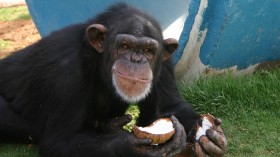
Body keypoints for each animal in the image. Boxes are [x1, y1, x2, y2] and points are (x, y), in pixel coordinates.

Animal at [0, 2, 226, 157]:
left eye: (148, 50)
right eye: (124, 46)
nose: (136, 59)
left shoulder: (165, 61)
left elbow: (168, 108)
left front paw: (210, 135)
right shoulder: (65, 70)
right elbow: (60, 140)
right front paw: (132, 146)